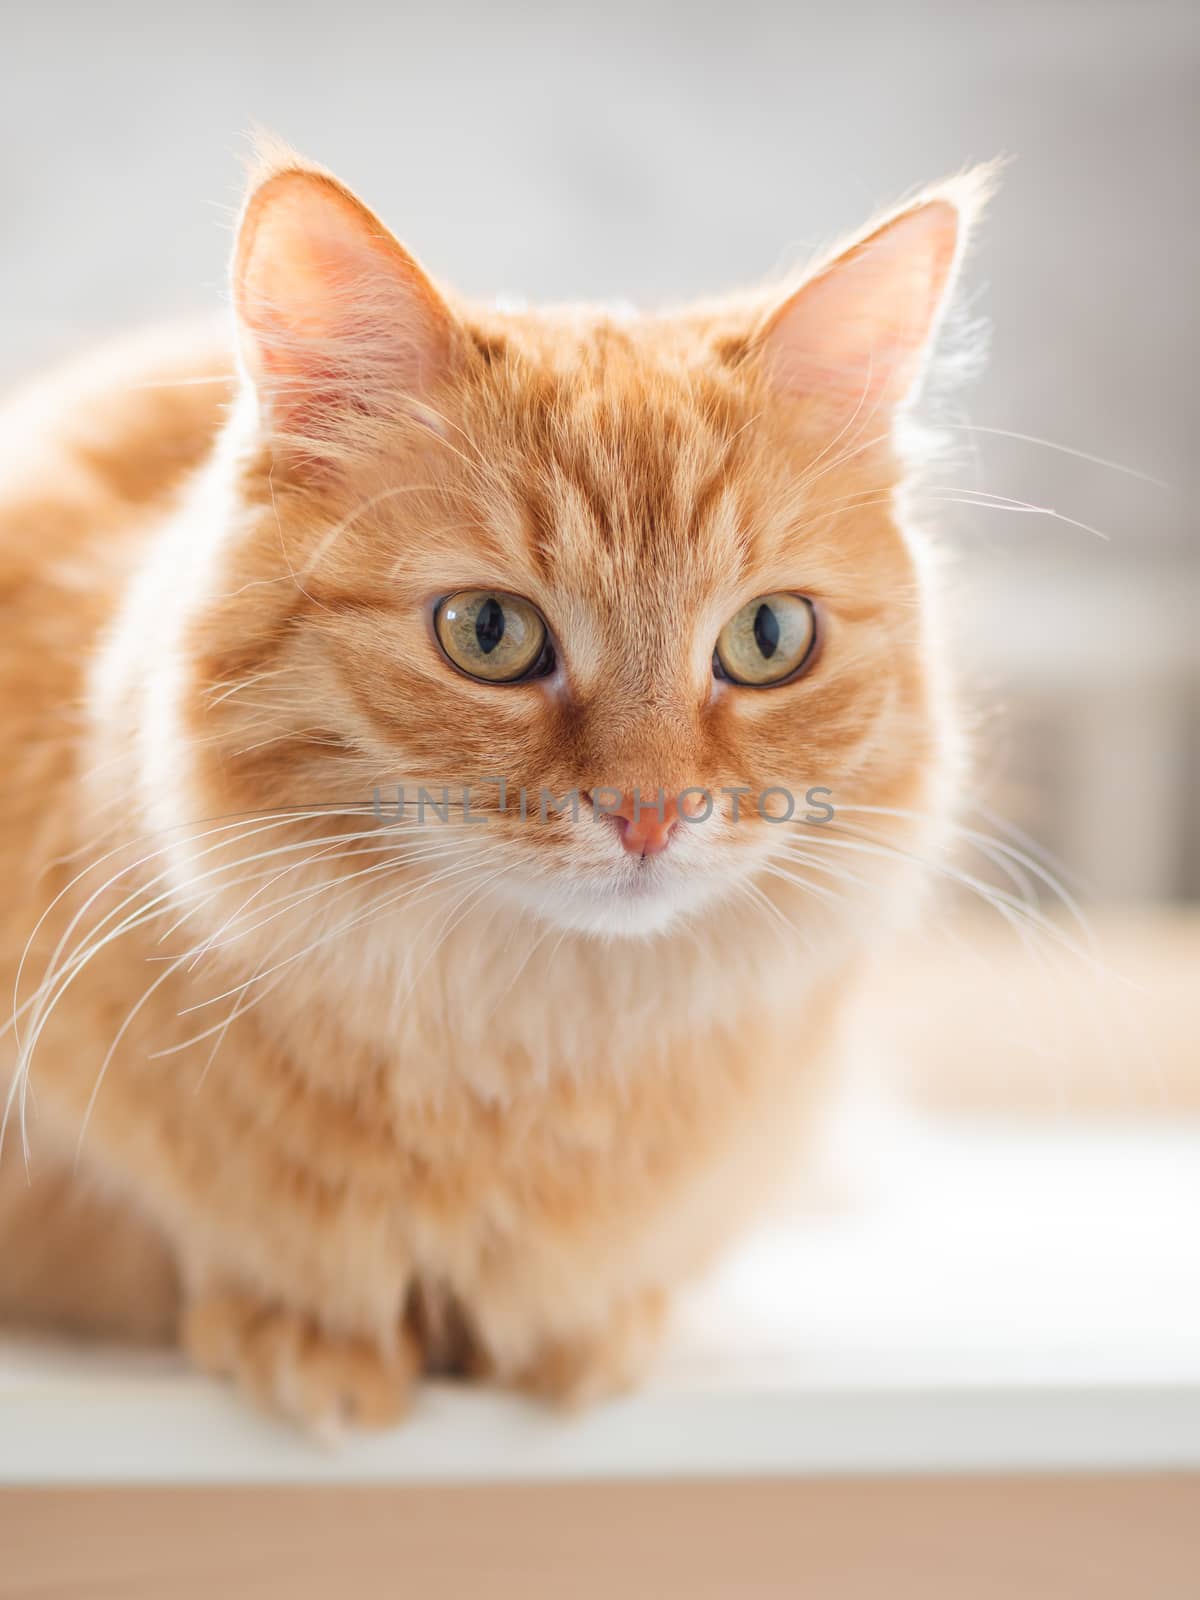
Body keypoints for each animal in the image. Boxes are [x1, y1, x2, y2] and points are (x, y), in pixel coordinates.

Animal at [0, 147, 985, 1427]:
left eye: (769, 637)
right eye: (488, 633)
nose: (650, 811)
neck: (528, 1037)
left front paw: (586, 1335)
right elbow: (201, 1249)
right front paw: (301, 1332)